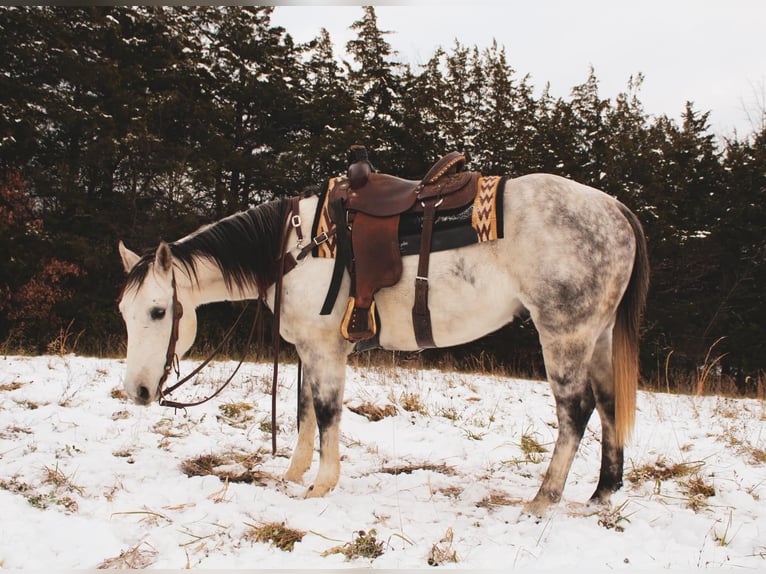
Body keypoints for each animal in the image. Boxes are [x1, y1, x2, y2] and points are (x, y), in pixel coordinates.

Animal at [118, 172, 649, 516]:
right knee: (608, 405)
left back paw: (543, 499)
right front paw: (293, 475)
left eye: (159, 312)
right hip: (597, 336)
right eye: (124, 313)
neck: (295, 249)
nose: (138, 392)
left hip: (563, 333)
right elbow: (304, 411)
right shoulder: (308, 351)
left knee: (575, 410)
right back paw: (602, 494)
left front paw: (321, 485)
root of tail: (615, 209)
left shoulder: (325, 350)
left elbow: (326, 412)